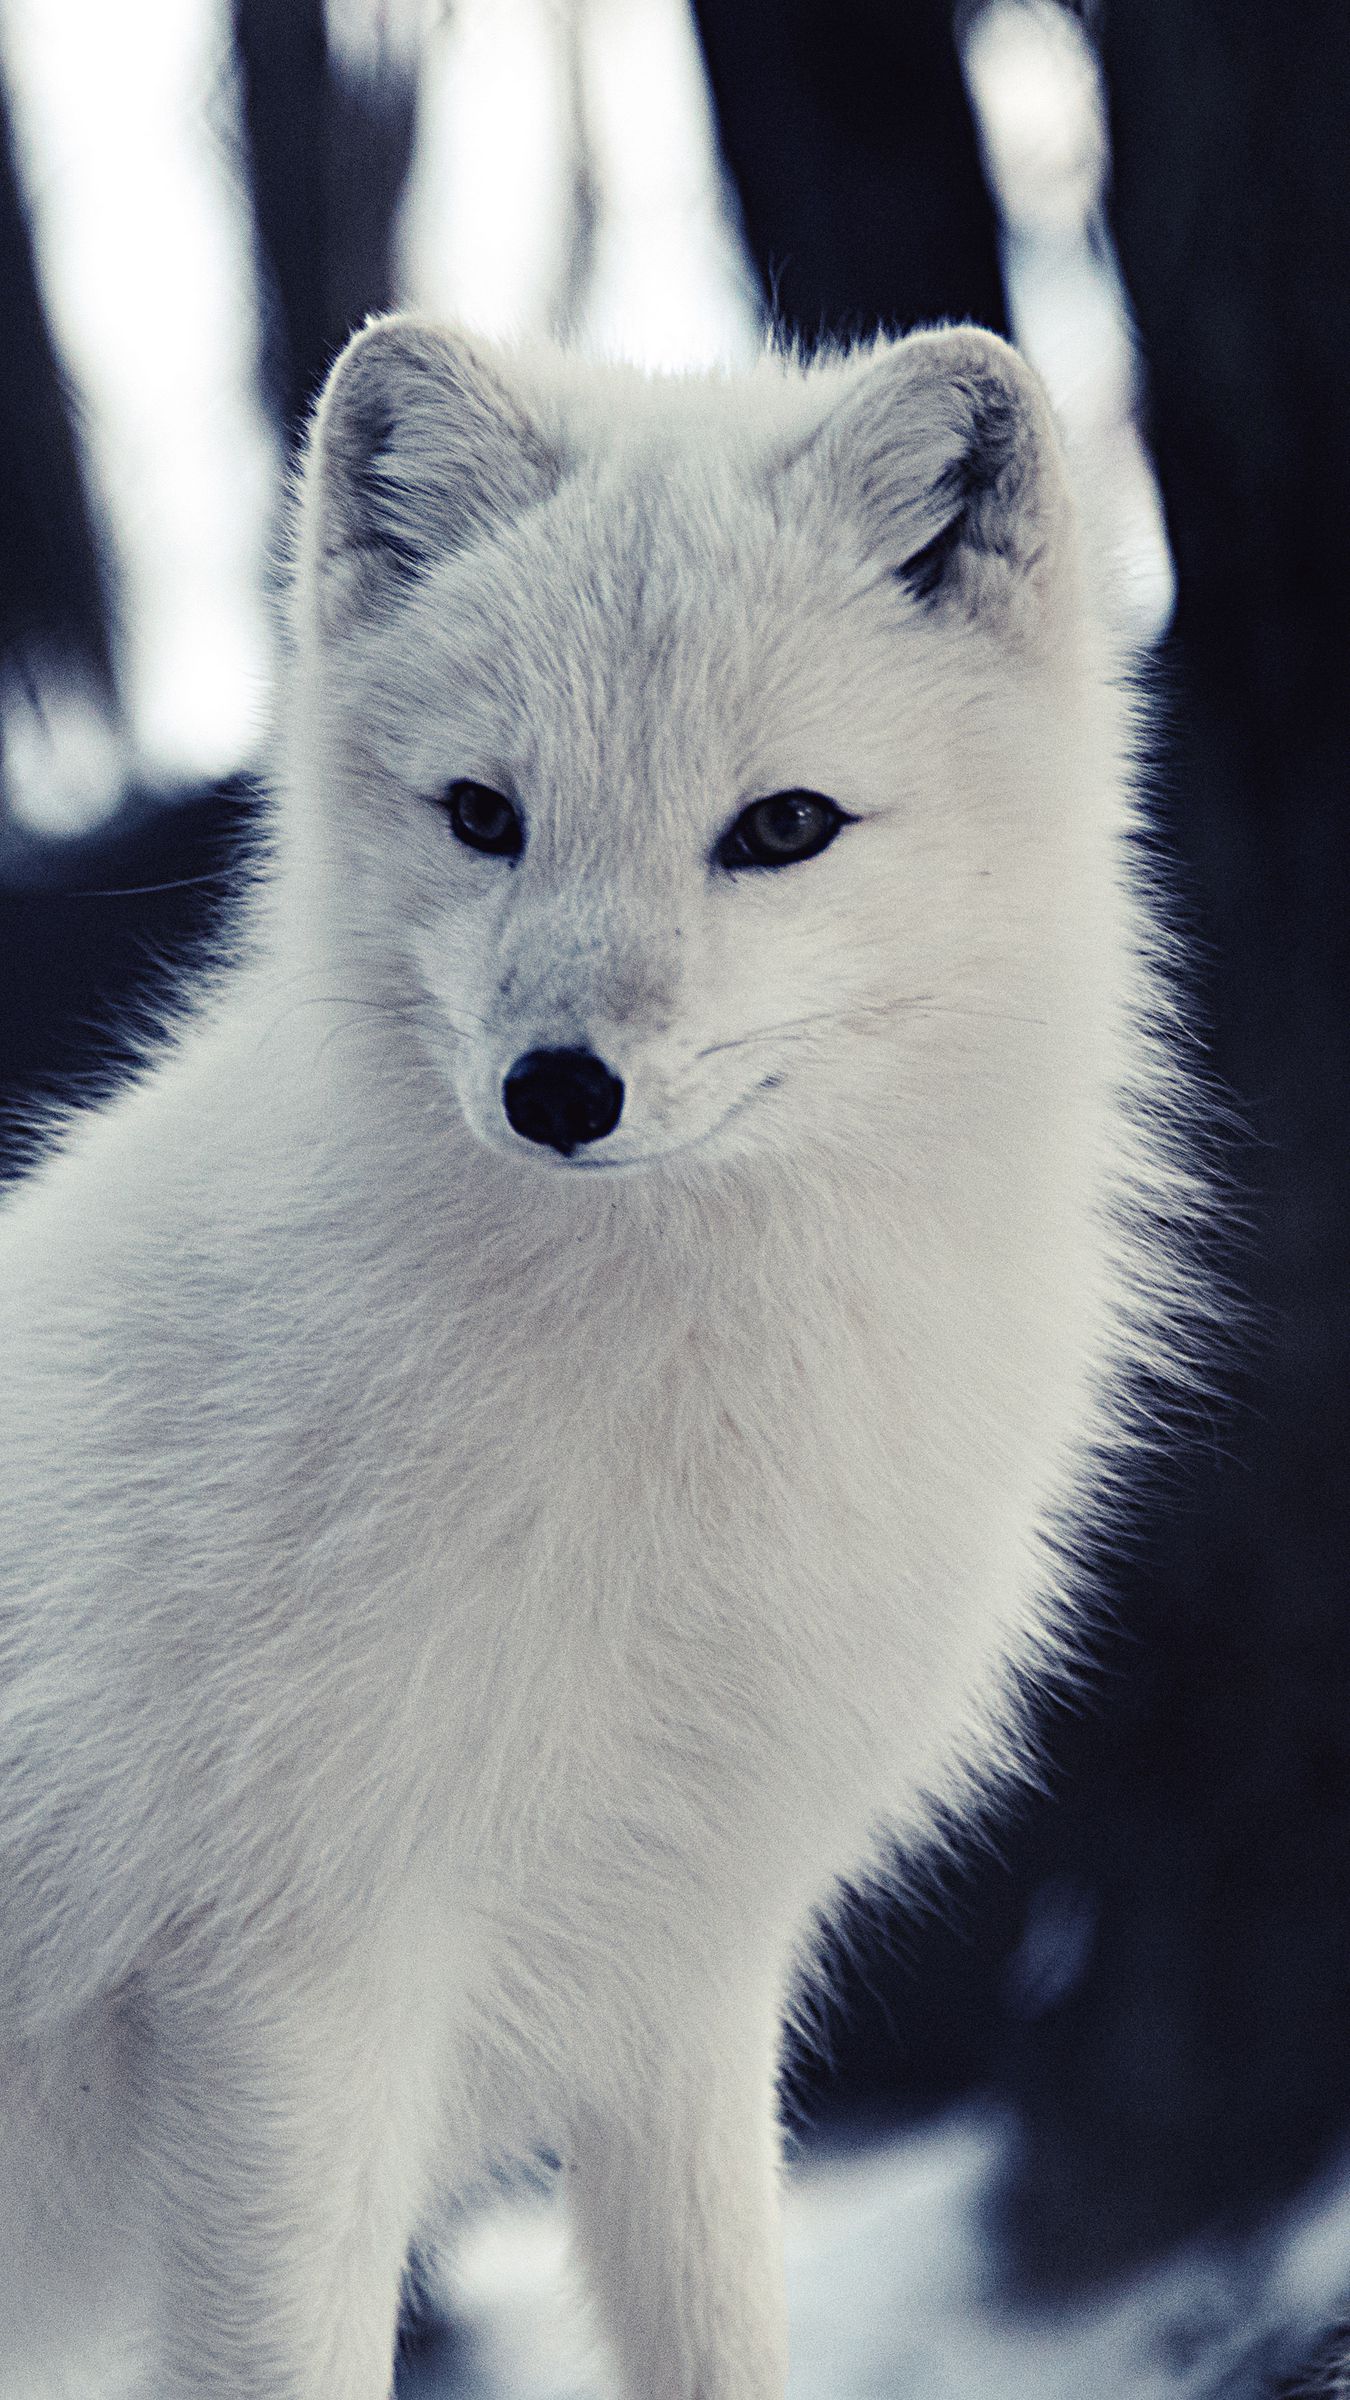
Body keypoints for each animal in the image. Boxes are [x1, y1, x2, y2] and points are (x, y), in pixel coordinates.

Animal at [0, 316, 1199, 2398]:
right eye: (485, 814)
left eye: (783, 828)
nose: (558, 1090)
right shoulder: (301, 1986)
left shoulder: (686, 1980)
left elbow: (722, 2345)